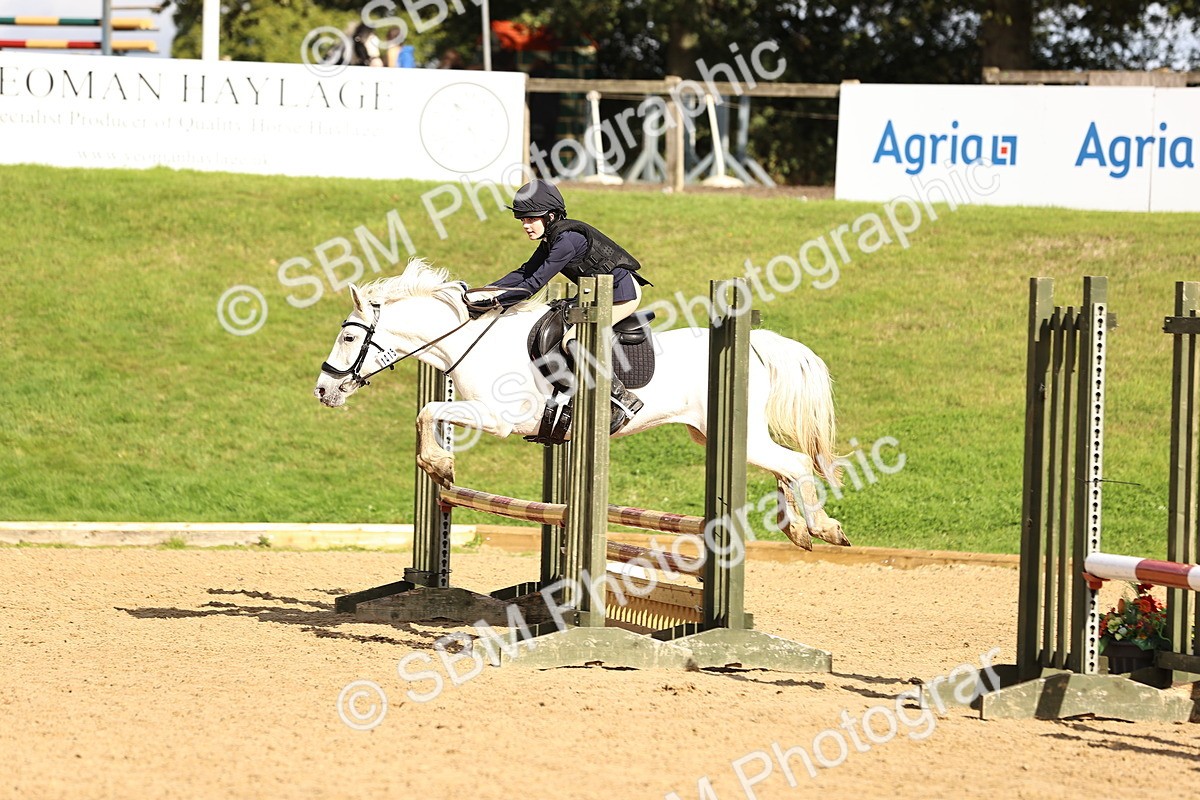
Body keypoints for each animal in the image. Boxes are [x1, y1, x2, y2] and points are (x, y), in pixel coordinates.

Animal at [313, 259, 849, 550]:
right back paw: (798, 530)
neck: (472, 341)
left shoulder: (497, 419)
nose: (322, 390)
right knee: (784, 468)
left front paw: (440, 466)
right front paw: (440, 466)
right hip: (715, 434)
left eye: (347, 336)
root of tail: (754, 346)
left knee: (795, 464)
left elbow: (429, 413)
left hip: (740, 434)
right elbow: (427, 414)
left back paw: (822, 527)